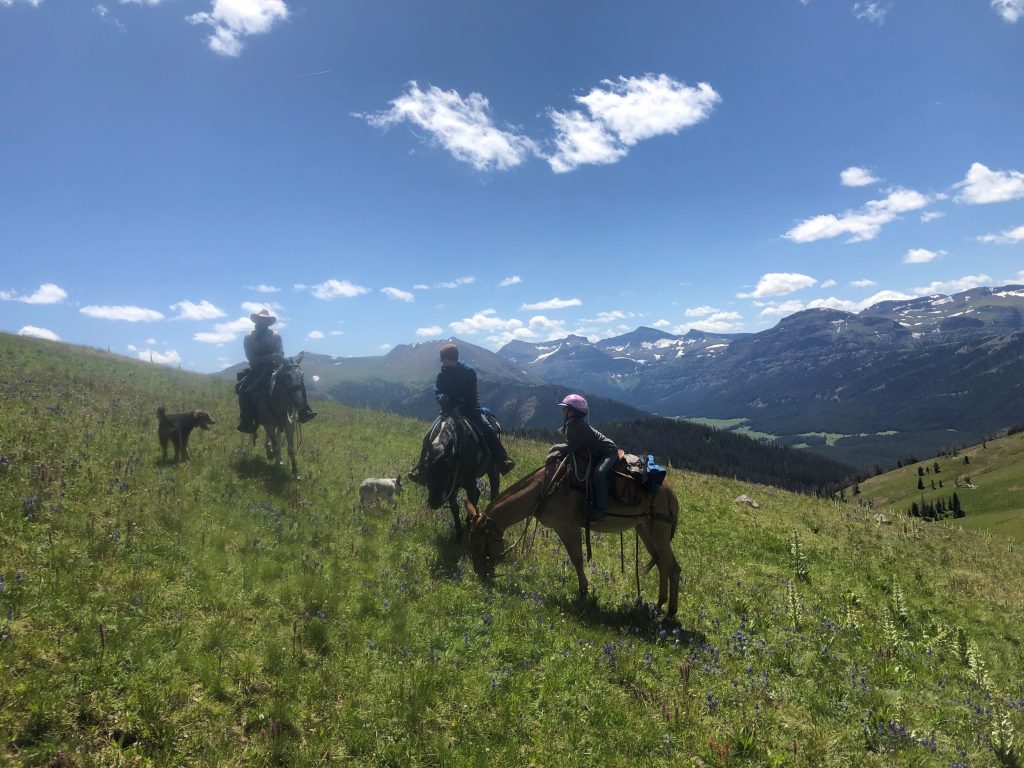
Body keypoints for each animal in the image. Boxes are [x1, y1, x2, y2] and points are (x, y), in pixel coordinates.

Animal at [468, 460, 679, 618]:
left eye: (479, 544)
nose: (480, 574)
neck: (545, 487)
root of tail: (670, 493)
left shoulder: (567, 527)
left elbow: (576, 558)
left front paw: (583, 592)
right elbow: (575, 559)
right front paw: (583, 590)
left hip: (658, 533)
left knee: (673, 567)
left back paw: (670, 612)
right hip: (645, 531)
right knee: (662, 565)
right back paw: (659, 604)